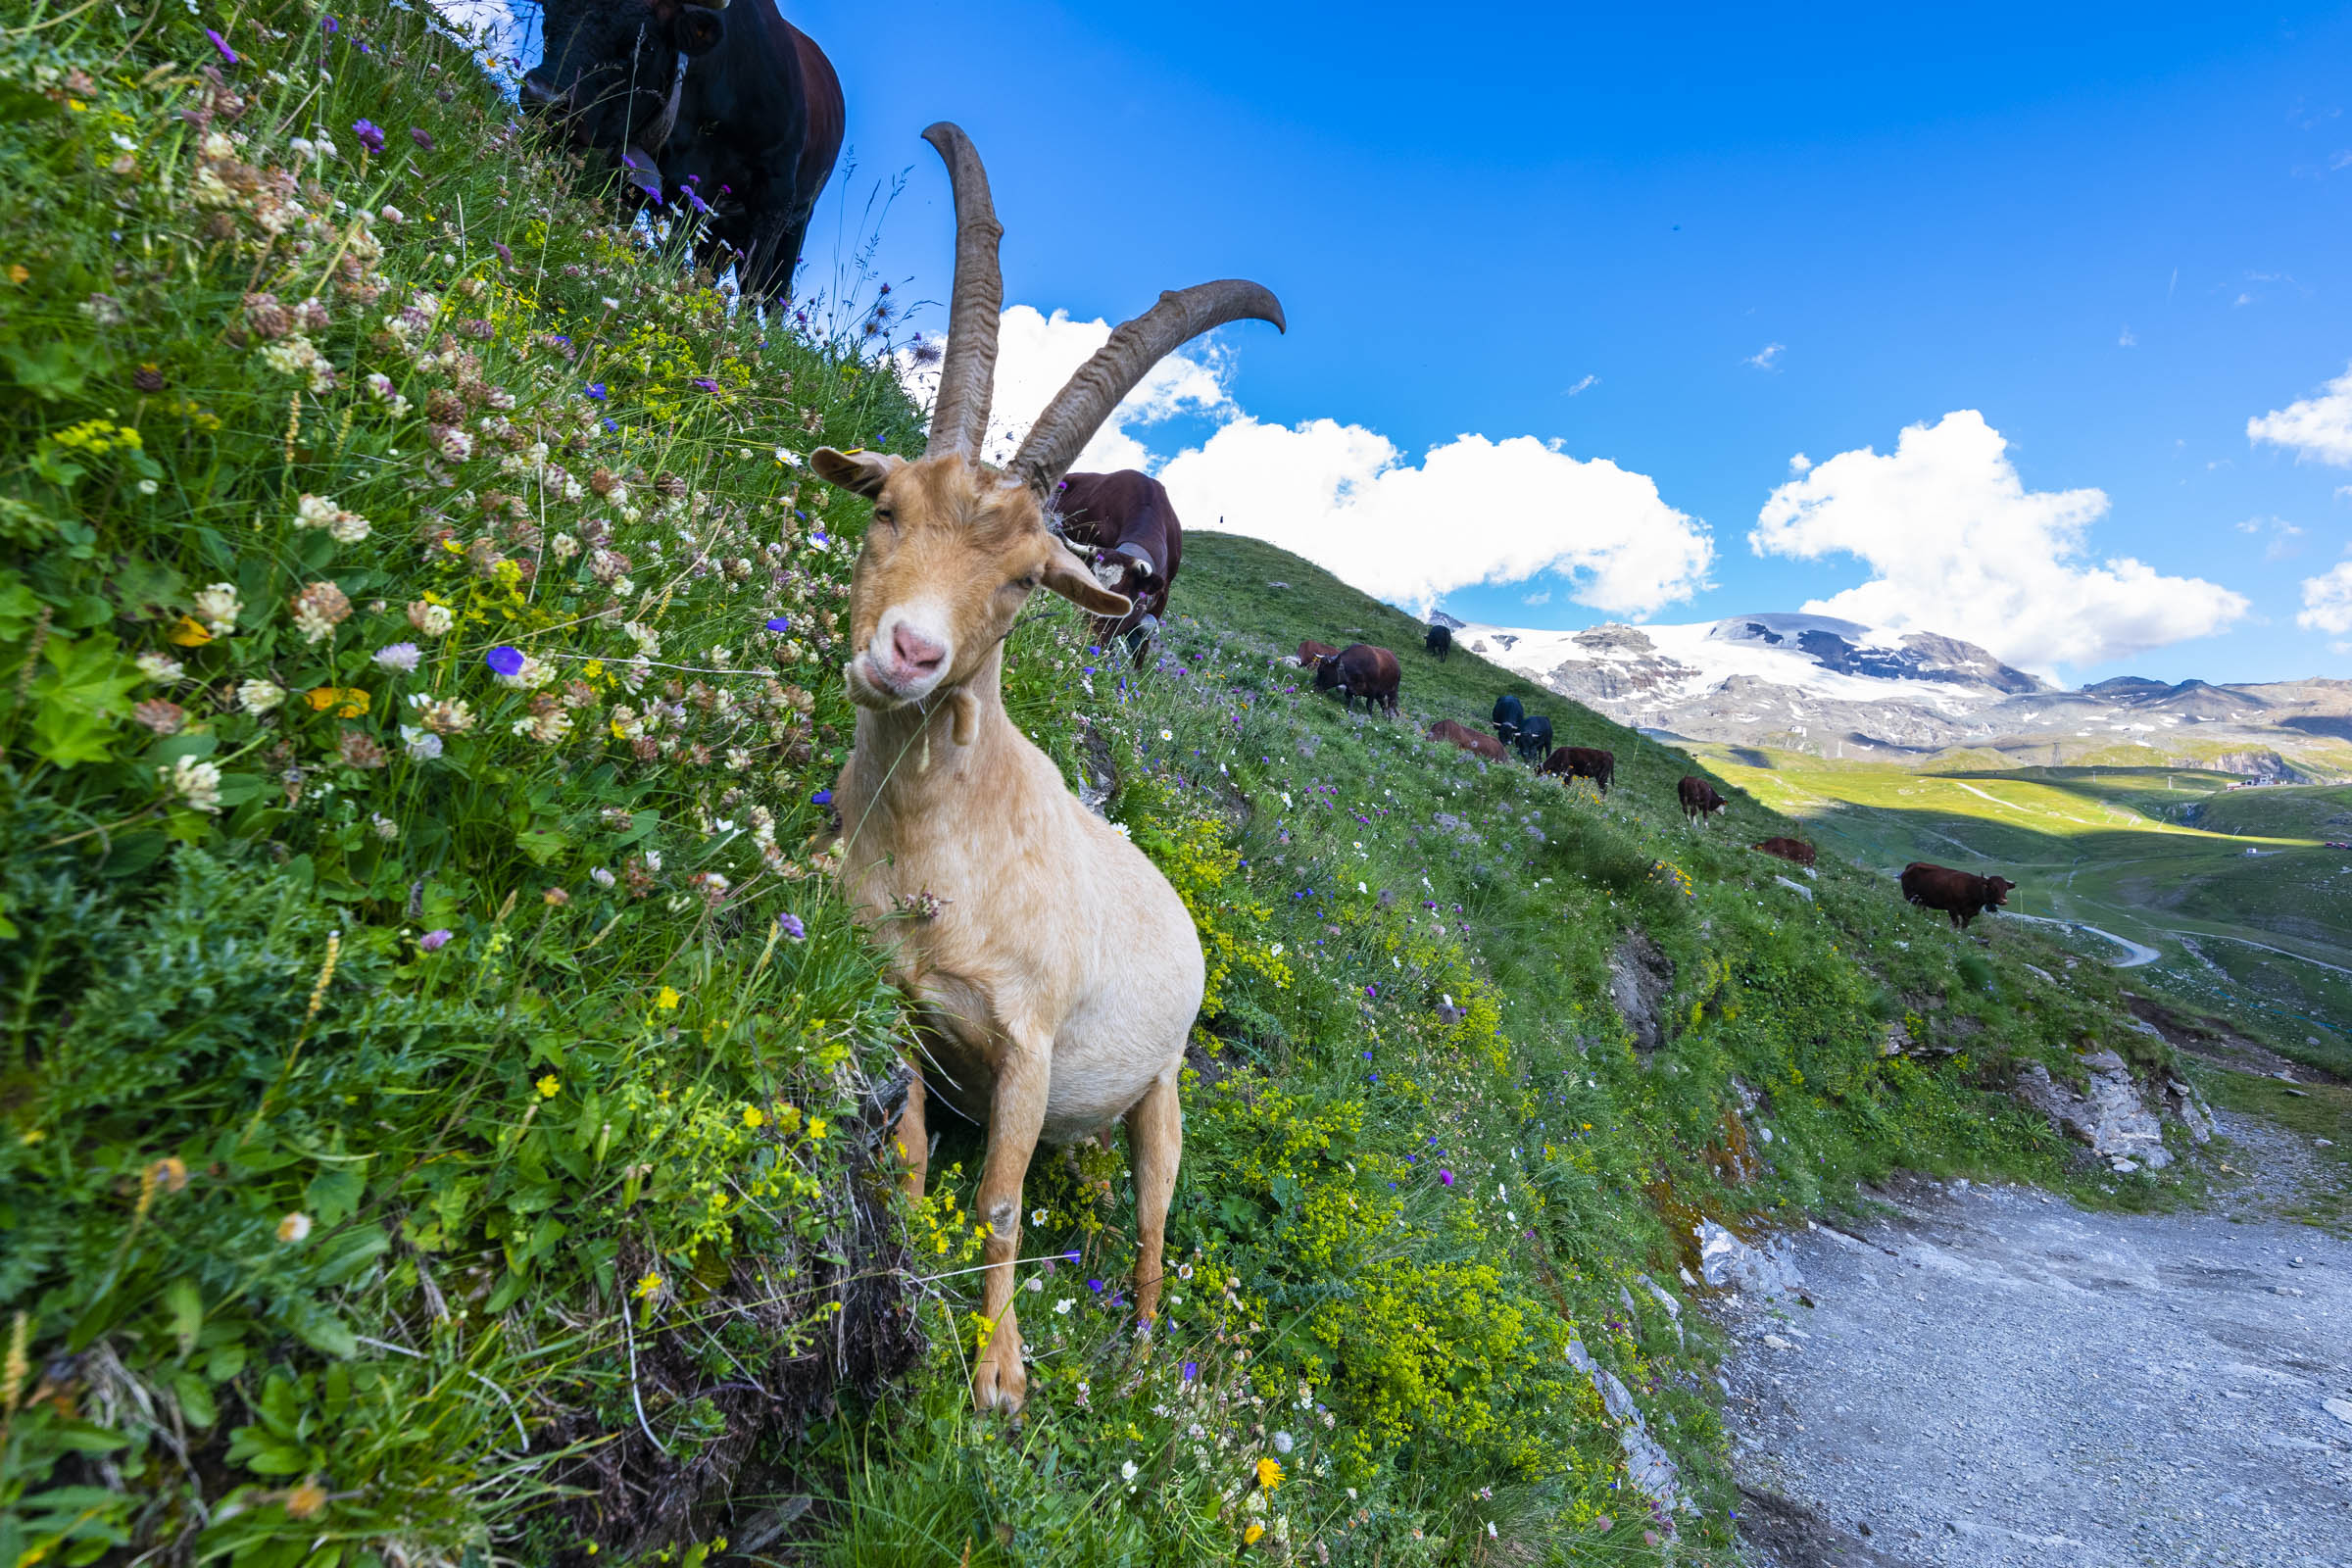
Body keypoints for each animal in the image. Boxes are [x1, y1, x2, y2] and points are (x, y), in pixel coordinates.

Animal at [524, 0, 847, 301]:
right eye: (548, 12)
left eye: (647, 44)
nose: (543, 97)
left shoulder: (776, 196)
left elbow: (753, 289)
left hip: (796, 223)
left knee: (773, 296)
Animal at [1890, 859, 2023, 930]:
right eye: (1993, 887)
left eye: (2006, 888)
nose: (2003, 901)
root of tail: (1912, 865)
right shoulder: (1952, 908)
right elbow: (1955, 924)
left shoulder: (1968, 914)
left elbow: (1964, 926)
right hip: (1911, 896)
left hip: (1920, 900)